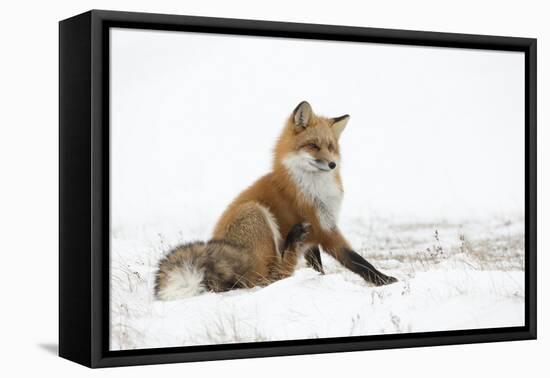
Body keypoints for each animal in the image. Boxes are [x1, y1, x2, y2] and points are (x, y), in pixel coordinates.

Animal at [154, 101, 396, 302]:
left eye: (331, 148)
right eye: (313, 146)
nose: (332, 165)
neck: (313, 187)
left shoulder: (316, 233)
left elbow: (318, 265)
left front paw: (319, 281)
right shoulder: (324, 228)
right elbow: (357, 260)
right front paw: (385, 281)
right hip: (256, 214)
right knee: (267, 279)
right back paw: (291, 243)